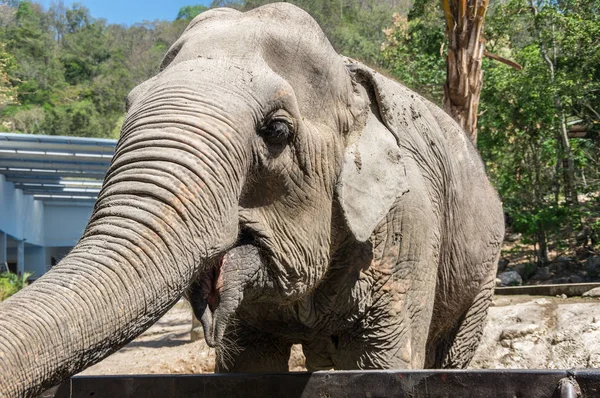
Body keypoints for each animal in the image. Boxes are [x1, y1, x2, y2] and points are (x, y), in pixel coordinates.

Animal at [1, 3, 506, 398]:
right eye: (129, 105)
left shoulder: (406, 230)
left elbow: (383, 364)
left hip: (483, 268)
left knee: (449, 351)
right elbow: (248, 364)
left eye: (277, 130)